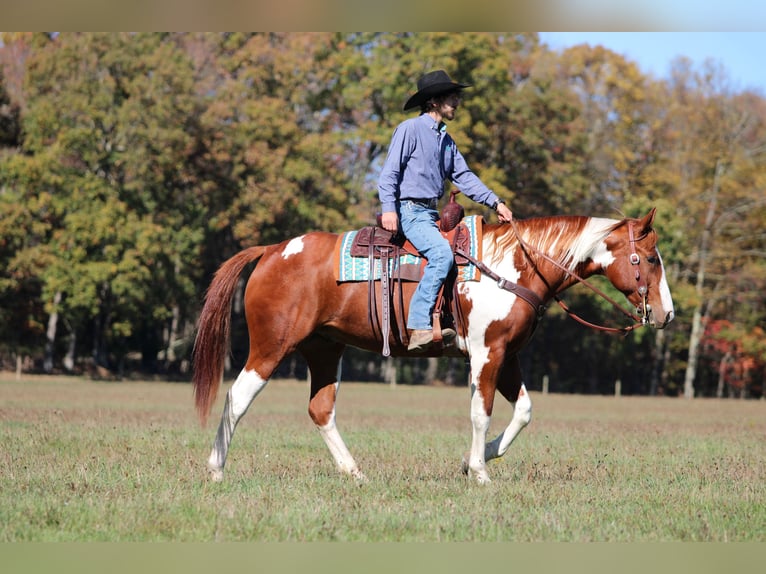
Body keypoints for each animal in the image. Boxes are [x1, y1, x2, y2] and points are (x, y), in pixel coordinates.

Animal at [192, 208, 674, 484]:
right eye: (651, 258)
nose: (667, 314)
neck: (513, 267)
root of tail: (272, 250)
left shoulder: (508, 355)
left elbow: (522, 411)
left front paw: (472, 461)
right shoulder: (487, 354)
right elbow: (481, 412)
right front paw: (479, 471)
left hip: (324, 350)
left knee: (321, 409)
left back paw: (354, 472)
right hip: (272, 346)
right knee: (237, 397)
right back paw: (215, 470)